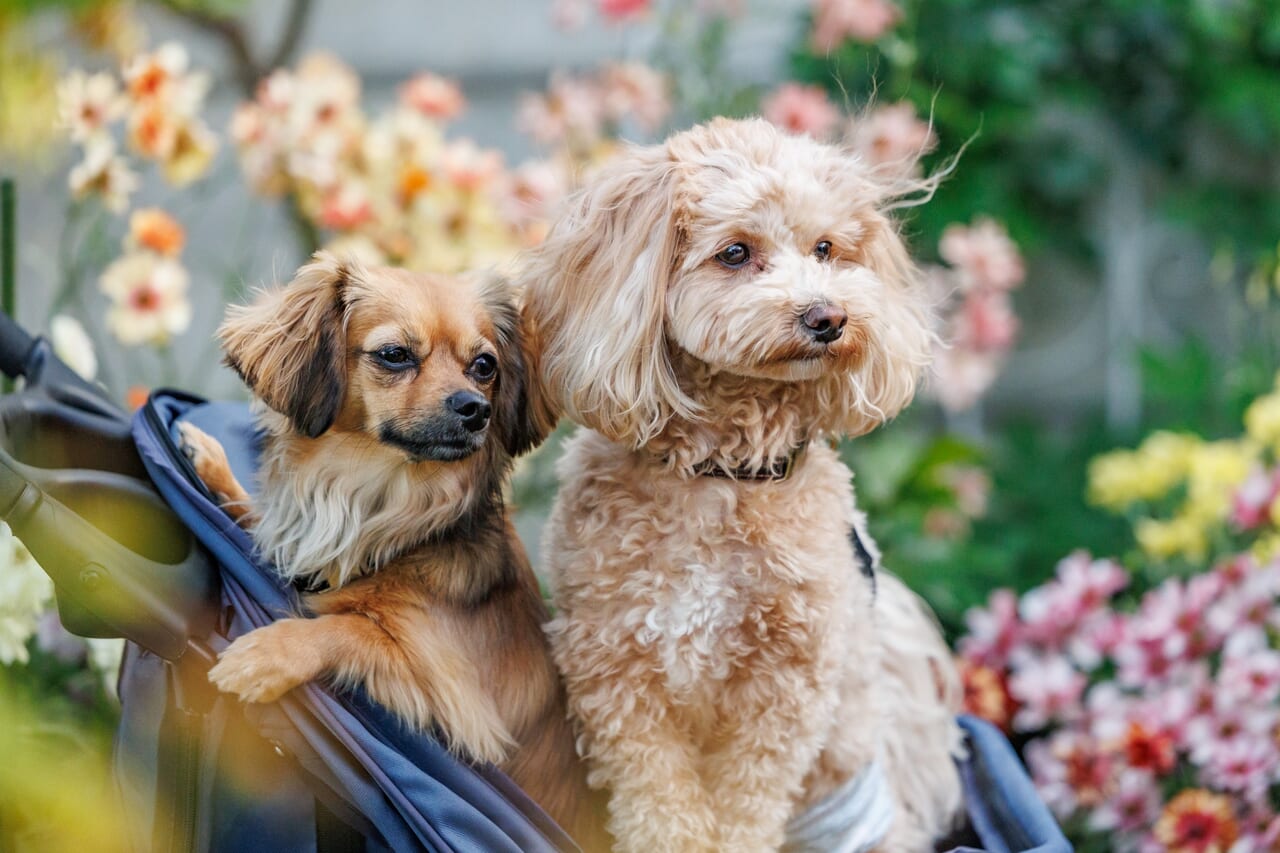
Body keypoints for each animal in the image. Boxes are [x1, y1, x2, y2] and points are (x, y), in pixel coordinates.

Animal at [183, 249, 606, 845]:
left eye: (485, 365)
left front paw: (266, 655)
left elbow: (348, 627)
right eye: (394, 355)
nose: (474, 407)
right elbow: (264, 525)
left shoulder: (457, 702)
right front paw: (215, 467)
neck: (376, 500)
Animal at [517, 119, 962, 850]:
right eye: (734, 253)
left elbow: (747, 801)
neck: (721, 473)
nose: (828, 317)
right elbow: (660, 800)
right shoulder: (616, 670)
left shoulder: (786, 688)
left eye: (825, 249)